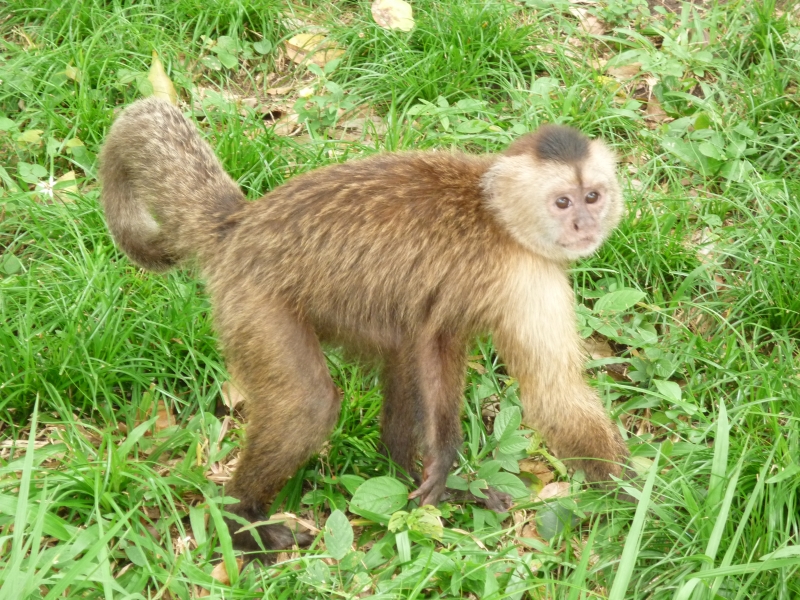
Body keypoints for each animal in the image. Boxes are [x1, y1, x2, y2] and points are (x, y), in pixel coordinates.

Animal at [98, 97, 624, 556]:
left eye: (592, 196)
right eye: (563, 202)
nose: (585, 224)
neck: (499, 218)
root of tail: (240, 224)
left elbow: (443, 344)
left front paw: (443, 467)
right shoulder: (525, 275)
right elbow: (538, 388)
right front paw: (634, 500)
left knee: (400, 350)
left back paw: (404, 473)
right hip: (255, 302)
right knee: (309, 406)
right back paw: (242, 523)